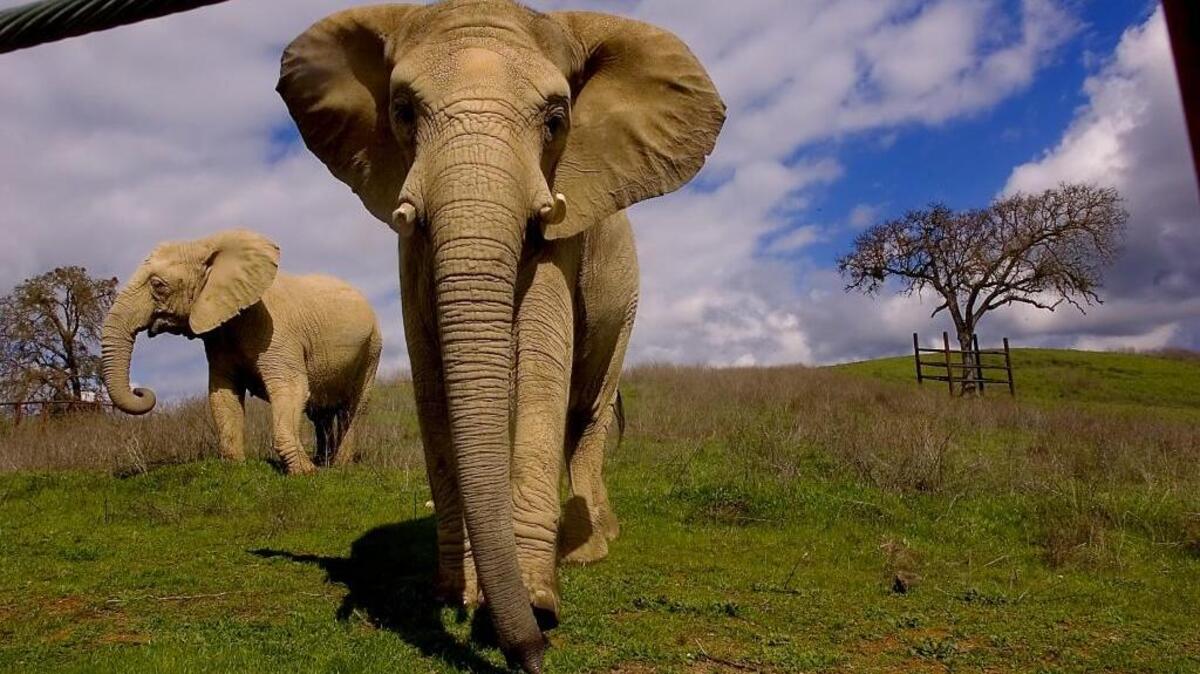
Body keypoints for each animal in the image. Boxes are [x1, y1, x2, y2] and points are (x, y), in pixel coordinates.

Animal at [100, 229, 383, 475]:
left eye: (158, 285)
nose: (141, 390)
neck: (206, 246)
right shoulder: (218, 335)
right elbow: (223, 395)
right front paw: (235, 466)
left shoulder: (278, 333)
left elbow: (292, 389)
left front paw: (305, 473)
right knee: (320, 413)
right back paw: (324, 461)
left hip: (372, 348)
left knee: (353, 408)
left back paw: (339, 466)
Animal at [276, 1, 724, 669]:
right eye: (403, 111)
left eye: (557, 120)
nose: (533, 655)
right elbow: (431, 374)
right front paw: (459, 596)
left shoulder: (564, 225)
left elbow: (541, 356)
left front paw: (537, 605)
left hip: (627, 300)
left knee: (588, 410)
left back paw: (589, 549)